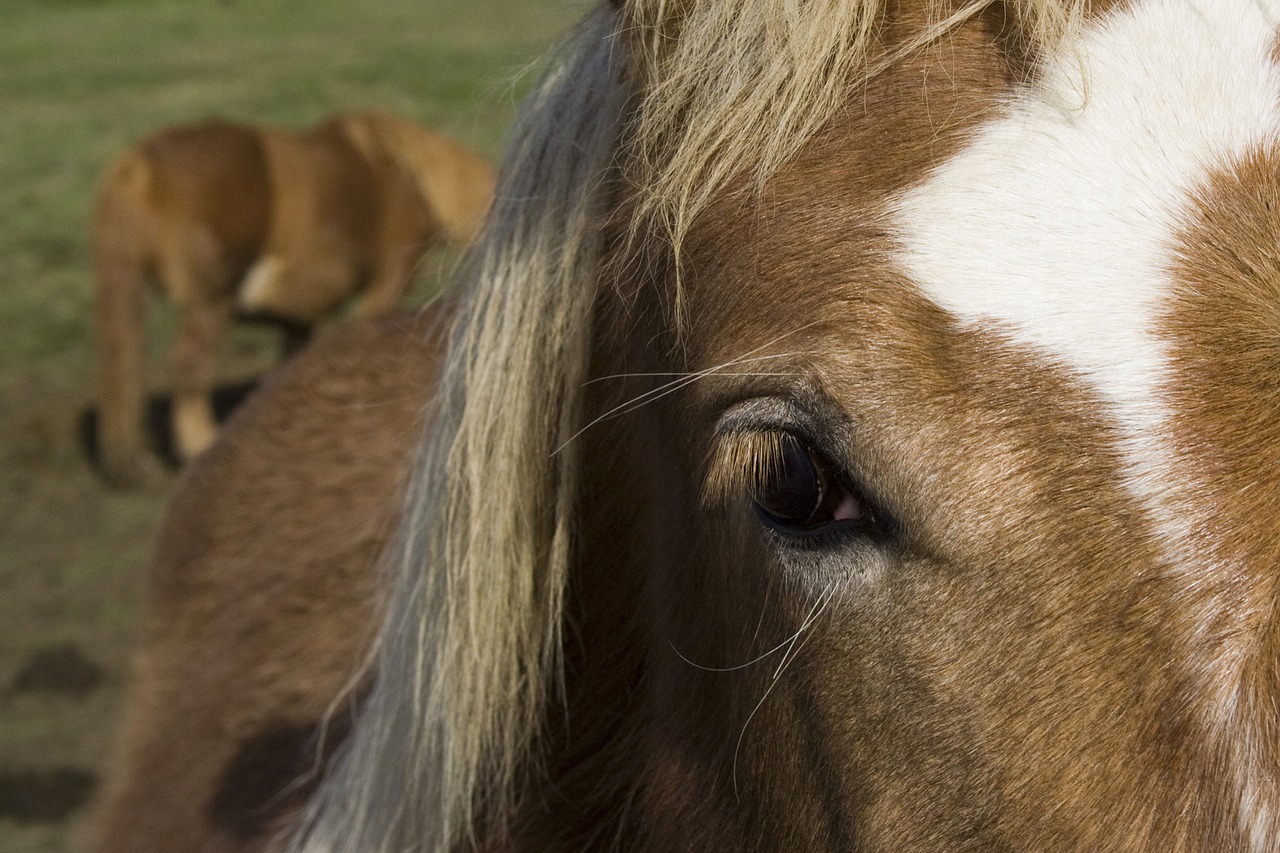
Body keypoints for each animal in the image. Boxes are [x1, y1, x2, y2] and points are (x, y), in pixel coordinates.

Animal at [93, 111, 494, 484]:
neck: (409, 173)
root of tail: (140, 163)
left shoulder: (297, 320)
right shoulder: (388, 279)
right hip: (211, 301)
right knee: (188, 363)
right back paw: (198, 444)